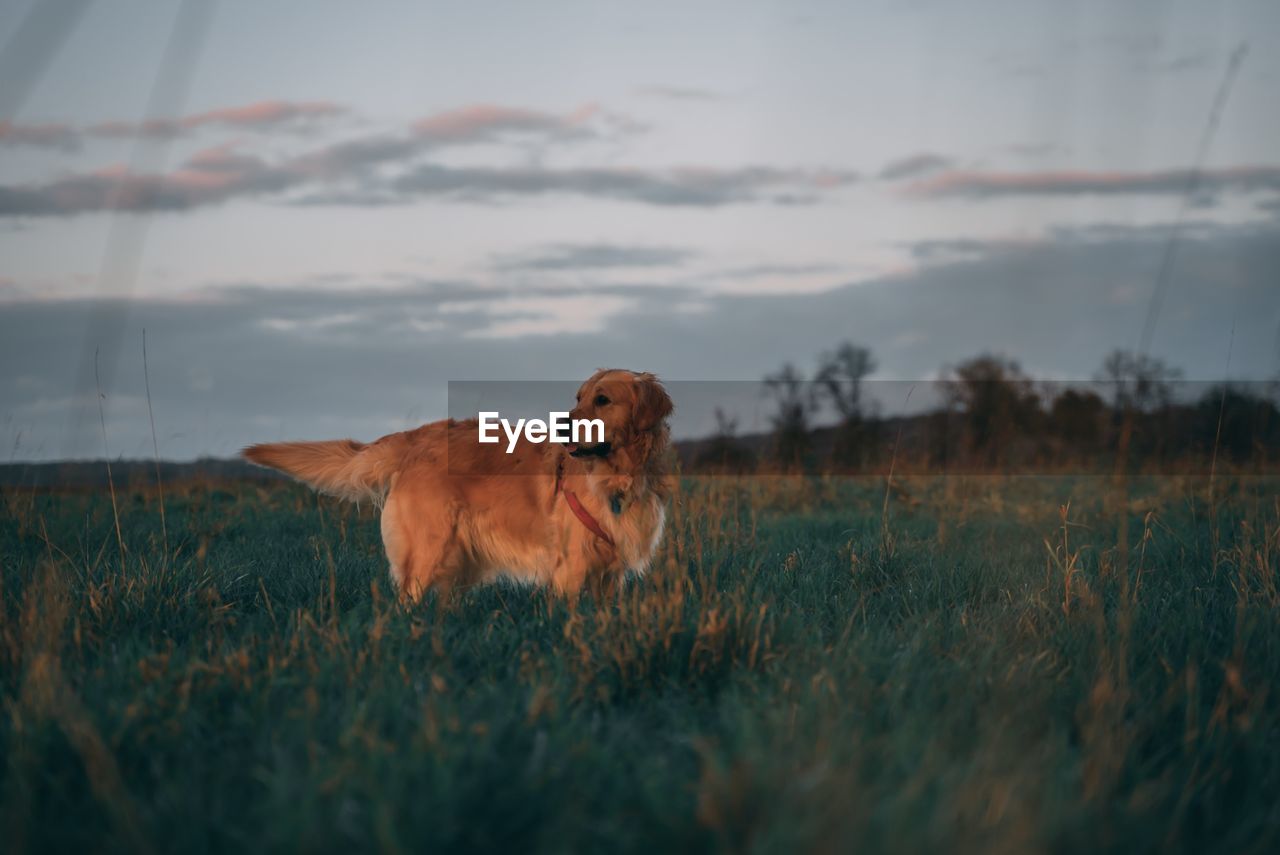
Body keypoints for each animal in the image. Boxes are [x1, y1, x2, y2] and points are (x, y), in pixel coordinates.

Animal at [243, 368, 675, 601]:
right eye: (579, 397)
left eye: (602, 400)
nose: (562, 426)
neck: (617, 477)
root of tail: (416, 437)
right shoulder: (570, 567)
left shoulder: (611, 575)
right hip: (427, 549)